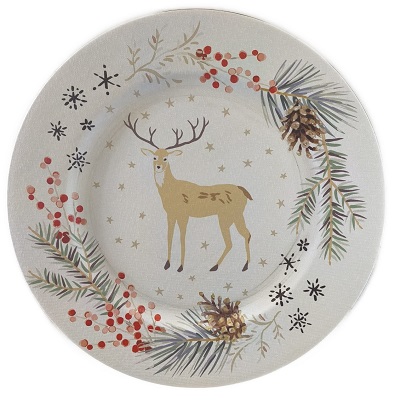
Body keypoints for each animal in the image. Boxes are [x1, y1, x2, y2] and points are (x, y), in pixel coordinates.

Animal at [124, 114, 252, 273]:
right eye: (154, 157)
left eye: (166, 158)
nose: (159, 166)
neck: (170, 191)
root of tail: (243, 190)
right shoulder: (170, 214)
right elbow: (169, 236)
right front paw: (167, 264)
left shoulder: (184, 213)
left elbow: (182, 238)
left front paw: (180, 267)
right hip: (234, 215)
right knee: (245, 234)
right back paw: (240, 266)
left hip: (227, 215)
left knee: (235, 239)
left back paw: (219, 266)